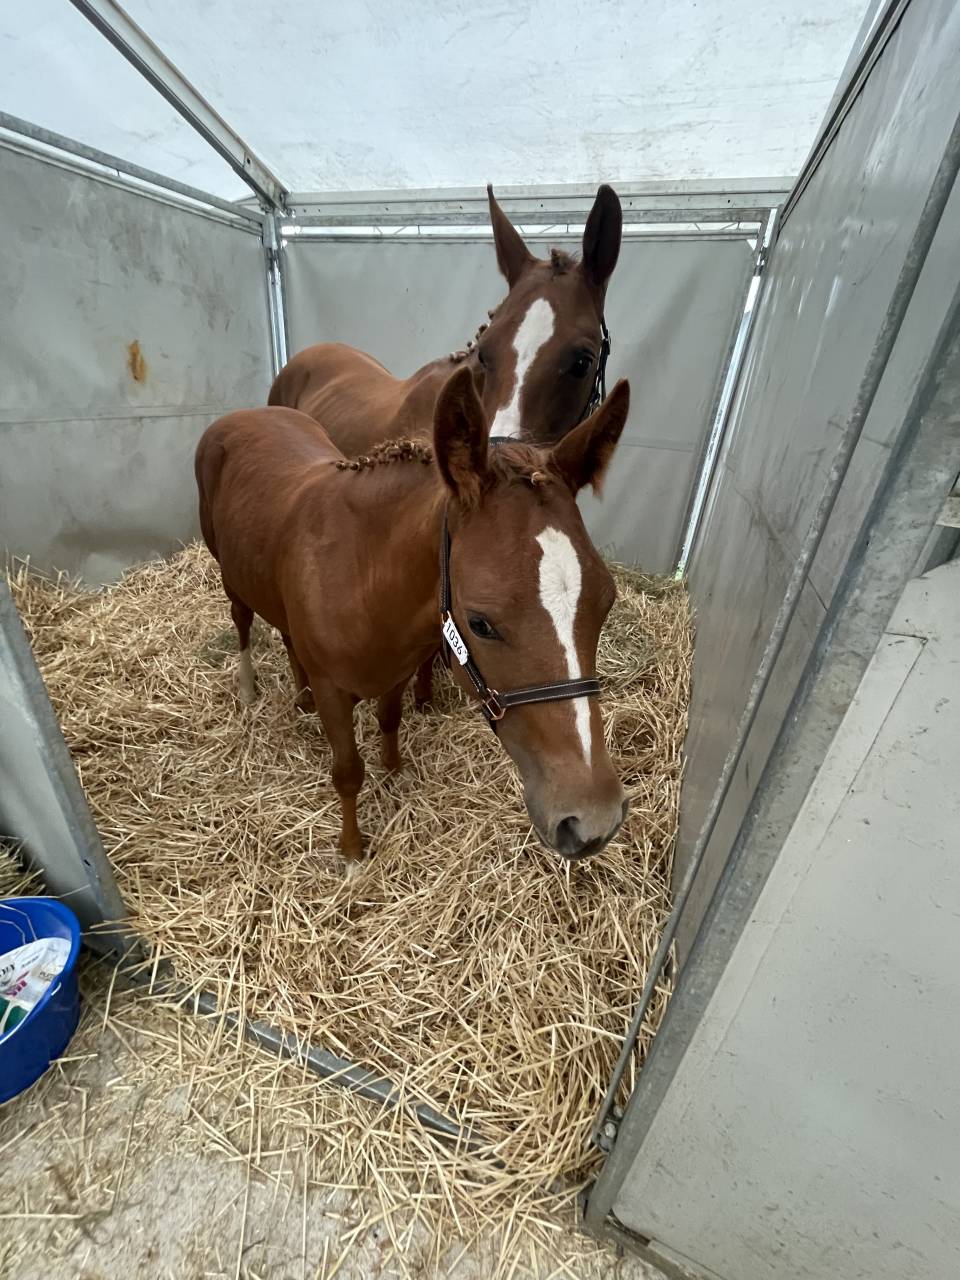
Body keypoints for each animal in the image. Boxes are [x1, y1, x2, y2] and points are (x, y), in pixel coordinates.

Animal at [196, 366, 631, 870]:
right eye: (480, 623)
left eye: (606, 602)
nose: (592, 820)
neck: (361, 573)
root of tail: (240, 416)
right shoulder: (332, 691)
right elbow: (347, 771)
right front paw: (351, 851)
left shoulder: (398, 669)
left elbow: (389, 718)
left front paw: (394, 772)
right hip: (229, 574)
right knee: (242, 619)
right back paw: (249, 688)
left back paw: (299, 697)